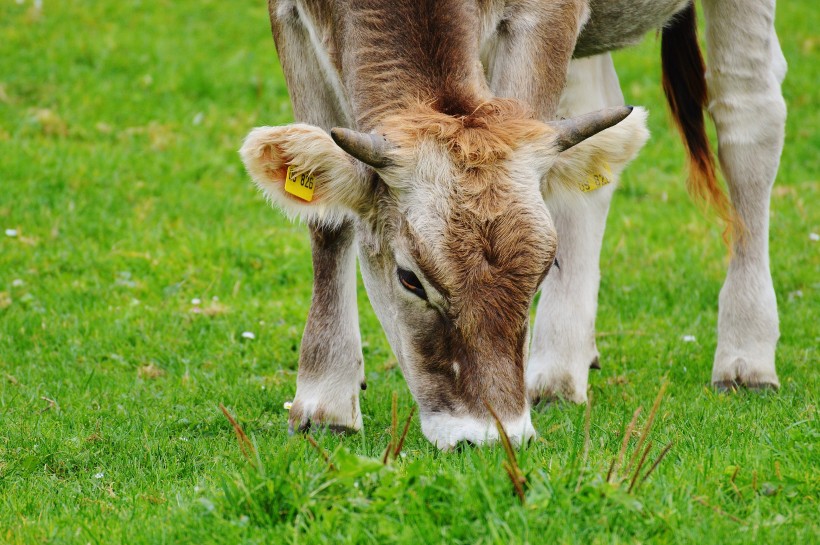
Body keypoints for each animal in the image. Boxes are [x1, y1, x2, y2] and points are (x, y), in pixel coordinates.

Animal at [240, 0, 784, 448]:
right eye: (409, 279)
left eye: (543, 271)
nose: (488, 437)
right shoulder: (286, 13)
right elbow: (329, 222)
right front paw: (325, 400)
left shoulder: (548, 15)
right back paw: (559, 368)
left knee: (749, 114)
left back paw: (747, 355)